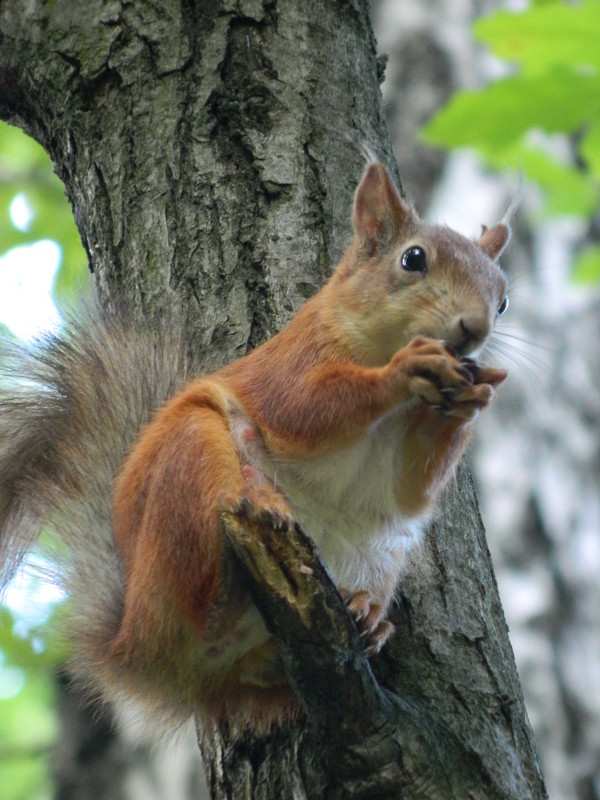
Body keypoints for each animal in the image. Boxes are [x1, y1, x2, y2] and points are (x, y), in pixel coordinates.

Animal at [0, 164, 510, 736]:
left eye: (503, 299)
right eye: (413, 259)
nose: (475, 329)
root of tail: (138, 651)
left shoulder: (406, 467)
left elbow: (412, 488)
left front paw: (472, 399)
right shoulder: (289, 364)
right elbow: (309, 406)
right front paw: (403, 370)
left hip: (378, 554)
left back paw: (365, 616)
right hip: (191, 465)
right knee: (200, 606)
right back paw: (235, 570)